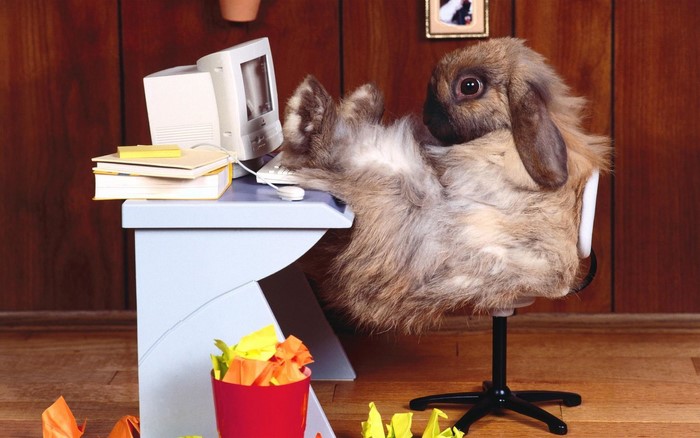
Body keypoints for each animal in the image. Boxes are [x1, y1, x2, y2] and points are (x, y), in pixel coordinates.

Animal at [280, 37, 611, 334]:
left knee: (326, 150)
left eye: (469, 86)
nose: (427, 118)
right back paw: (358, 98)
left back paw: (310, 103)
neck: (505, 132)